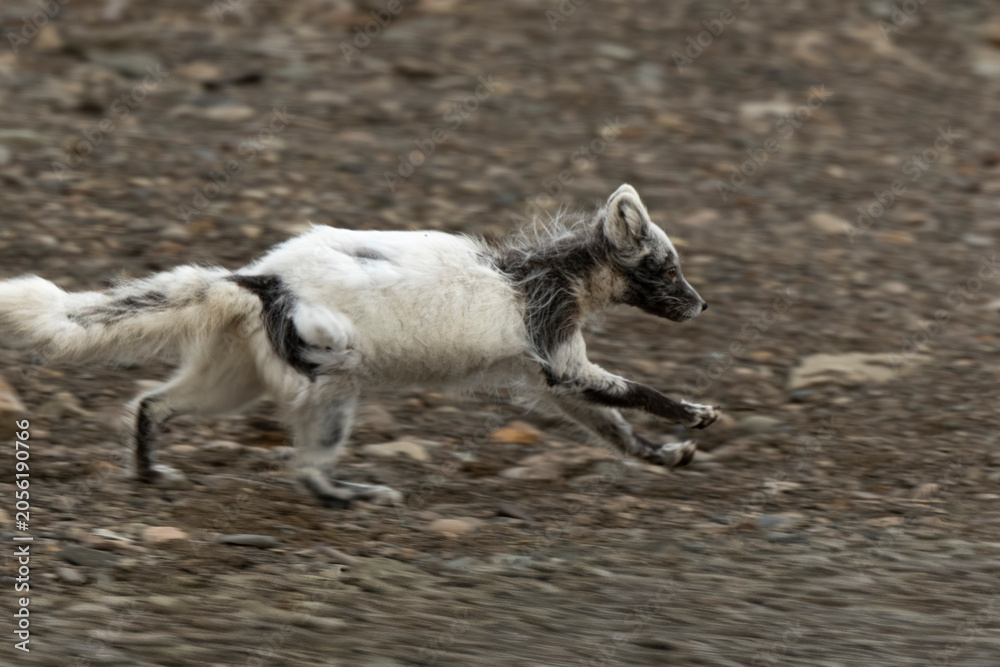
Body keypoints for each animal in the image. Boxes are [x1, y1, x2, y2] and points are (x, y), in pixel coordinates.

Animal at [0, 184, 720, 507]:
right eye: (665, 267)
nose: (701, 305)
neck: (554, 272)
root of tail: (259, 278)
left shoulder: (547, 370)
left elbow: (610, 423)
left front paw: (665, 455)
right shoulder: (556, 347)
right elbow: (633, 390)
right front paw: (696, 414)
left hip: (236, 377)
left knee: (154, 403)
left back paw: (151, 472)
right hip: (329, 370)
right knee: (308, 465)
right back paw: (355, 493)